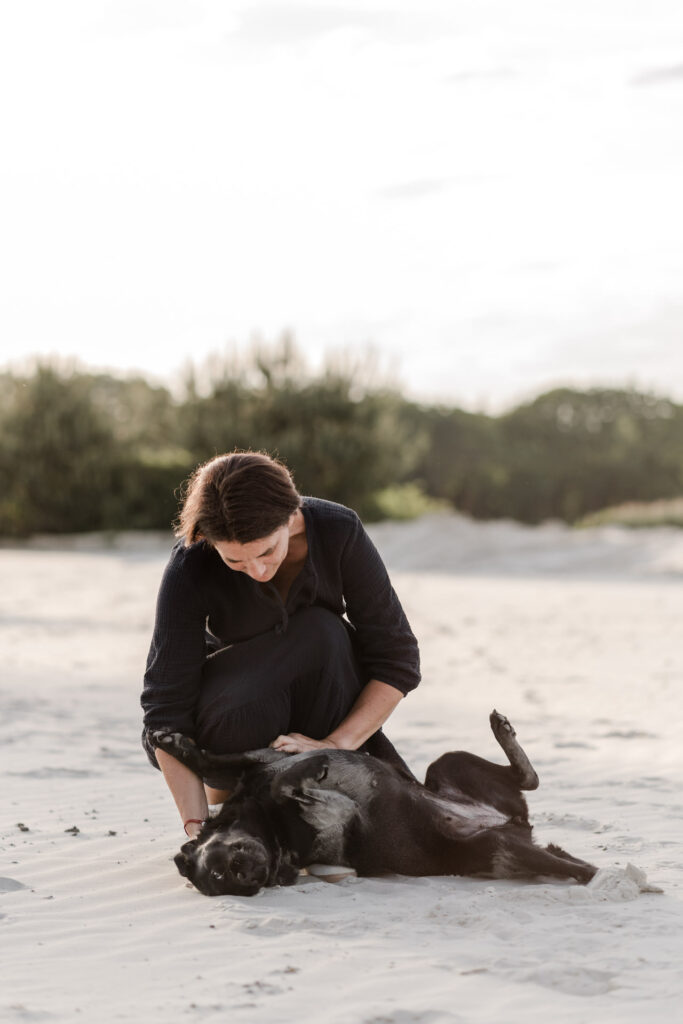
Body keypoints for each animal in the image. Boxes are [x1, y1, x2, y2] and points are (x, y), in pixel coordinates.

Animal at [150, 712, 598, 897]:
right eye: (221, 877)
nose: (247, 874)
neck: (267, 823)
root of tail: (513, 824)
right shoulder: (332, 815)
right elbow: (287, 786)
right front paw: (312, 769)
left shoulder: (260, 757)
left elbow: (212, 760)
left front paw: (172, 742)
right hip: (497, 847)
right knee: (582, 868)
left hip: (446, 763)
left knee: (528, 779)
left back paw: (502, 730)